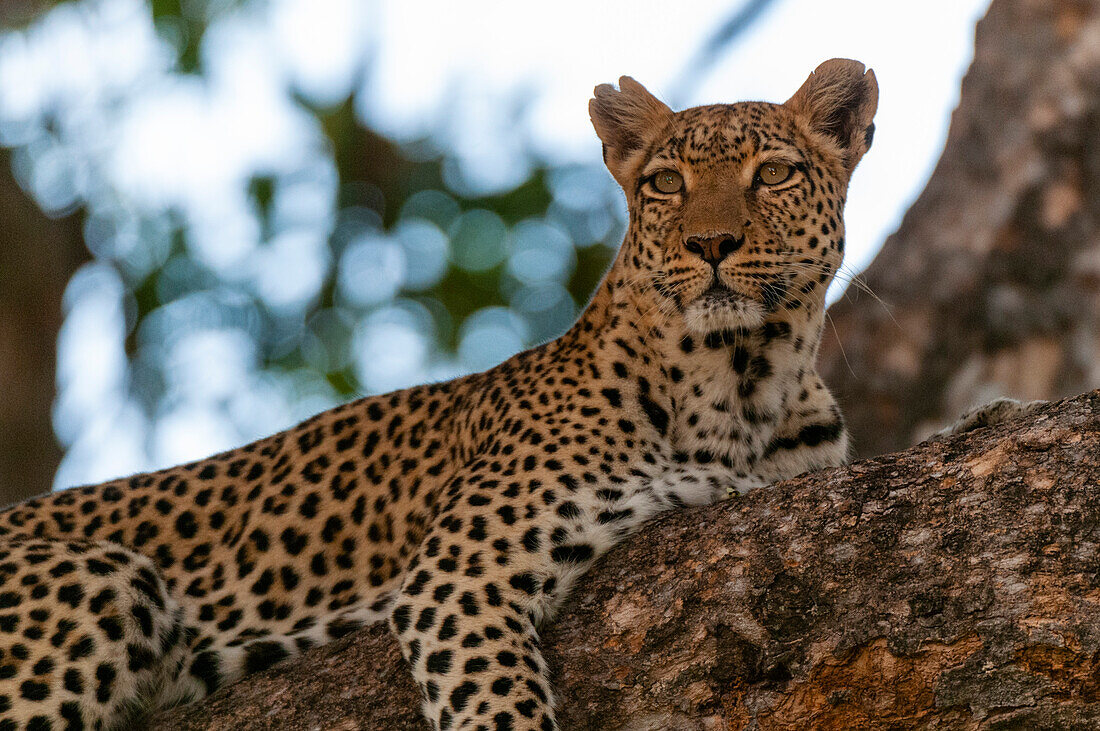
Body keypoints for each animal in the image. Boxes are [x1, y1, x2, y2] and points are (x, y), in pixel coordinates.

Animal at [0, 59, 880, 725]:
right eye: (666, 181)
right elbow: (497, 705)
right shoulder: (457, 574)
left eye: (773, 174)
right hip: (99, 582)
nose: (711, 243)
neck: (744, 382)